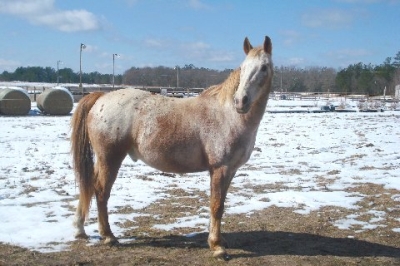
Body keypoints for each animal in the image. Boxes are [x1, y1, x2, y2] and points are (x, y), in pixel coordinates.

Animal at [70, 36, 274, 258]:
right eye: (243, 67)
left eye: (264, 67)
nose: (240, 101)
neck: (227, 114)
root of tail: (101, 97)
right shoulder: (220, 169)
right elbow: (217, 205)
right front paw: (217, 246)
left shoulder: (230, 171)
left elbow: (220, 204)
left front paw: (218, 240)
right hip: (110, 158)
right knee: (101, 192)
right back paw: (108, 236)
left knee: (90, 186)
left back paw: (81, 229)